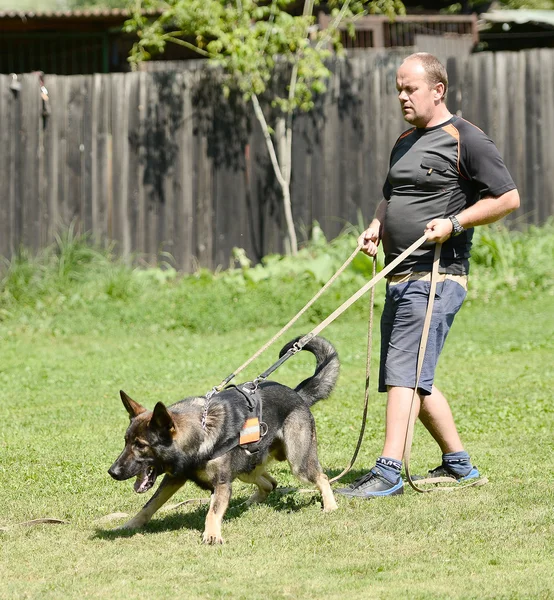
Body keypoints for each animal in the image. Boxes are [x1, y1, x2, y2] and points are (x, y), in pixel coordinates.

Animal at [107, 336, 338, 548]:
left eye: (141, 445)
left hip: (298, 463)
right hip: (246, 469)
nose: (113, 472)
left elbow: (212, 511)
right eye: (126, 441)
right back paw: (248, 503)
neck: (199, 436)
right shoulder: (175, 478)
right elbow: (149, 504)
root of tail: (298, 395)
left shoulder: (220, 483)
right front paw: (131, 525)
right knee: (270, 483)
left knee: (321, 476)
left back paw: (330, 506)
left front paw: (212, 534)